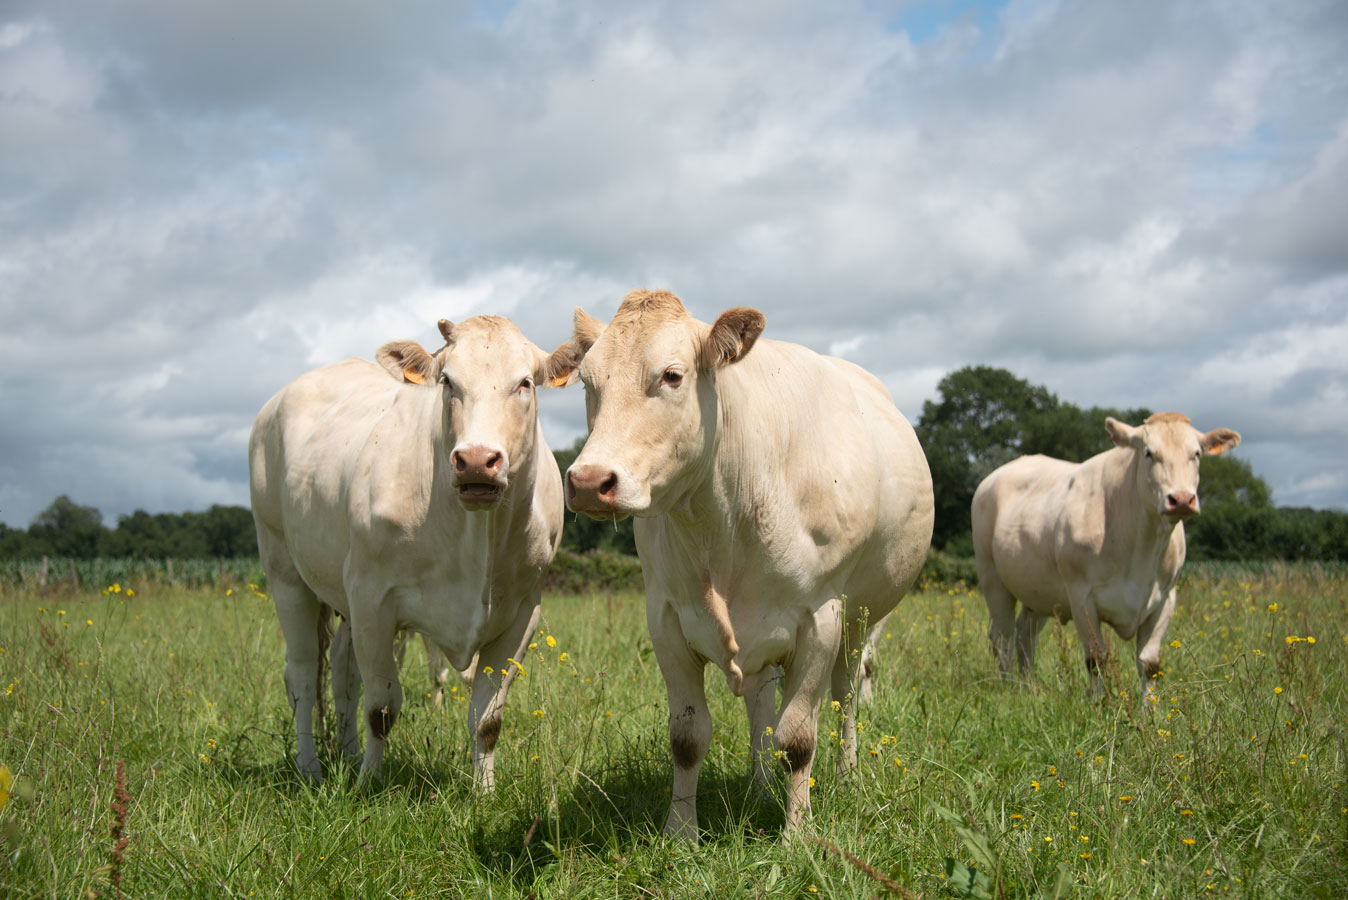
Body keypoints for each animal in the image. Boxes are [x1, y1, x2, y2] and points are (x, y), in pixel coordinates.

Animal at [250, 316, 576, 786]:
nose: (477, 460)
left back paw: (348, 753)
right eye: (447, 381)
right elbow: (381, 707)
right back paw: (310, 768)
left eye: (525, 383)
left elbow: (487, 718)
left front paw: (484, 791)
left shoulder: (522, 613)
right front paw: (369, 783)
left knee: (342, 672)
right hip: (285, 572)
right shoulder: (372, 599)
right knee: (302, 676)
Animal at [563, 292, 932, 840]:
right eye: (587, 382)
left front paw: (797, 834)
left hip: (861, 620)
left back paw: (847, 775)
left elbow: (798, 736)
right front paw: (680, 833)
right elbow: (688, 735)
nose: (589, 481)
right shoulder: (666, 619)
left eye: (671, 375)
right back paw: (759, 786)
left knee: (847, 694)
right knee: (761, 702)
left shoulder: (821, 619)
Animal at [970, 412, 1240, 700]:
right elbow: (1096, 659)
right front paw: (1099, 704)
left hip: (1038, 590)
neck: (1142, 549)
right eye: (1148, 453)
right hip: (992, 579)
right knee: (1003, 637)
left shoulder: (1166, 598)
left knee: (1025, 635)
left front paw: (1149, 709)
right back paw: (1009, 686)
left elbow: (1150, 664)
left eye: (1196, 454)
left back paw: (1028, 687)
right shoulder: (1081, 596)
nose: (1180, 499)